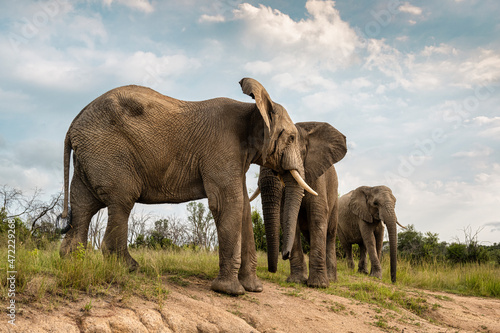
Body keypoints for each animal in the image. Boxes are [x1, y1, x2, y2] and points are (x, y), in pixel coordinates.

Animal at [58, 77, 324, 294]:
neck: (252, 110)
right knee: (121, 201)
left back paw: (72, 261)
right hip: (110, 152)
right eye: (291, 138)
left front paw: (253, 289)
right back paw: (130, 267)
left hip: (90, 155)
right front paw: (230, 291)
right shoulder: (221, 149)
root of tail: (72, 125)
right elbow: (229, 203)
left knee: (83, 205)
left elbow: (243, 208)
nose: (284, 255)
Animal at [252, 120, 346, 286]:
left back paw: (331, 279)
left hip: (335, 199)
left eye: (292, 143)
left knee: (330, 234)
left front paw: (318, 285)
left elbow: (317, 215)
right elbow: (287, 217)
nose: (285, 254)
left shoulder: (317, 176)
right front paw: (296, 281)